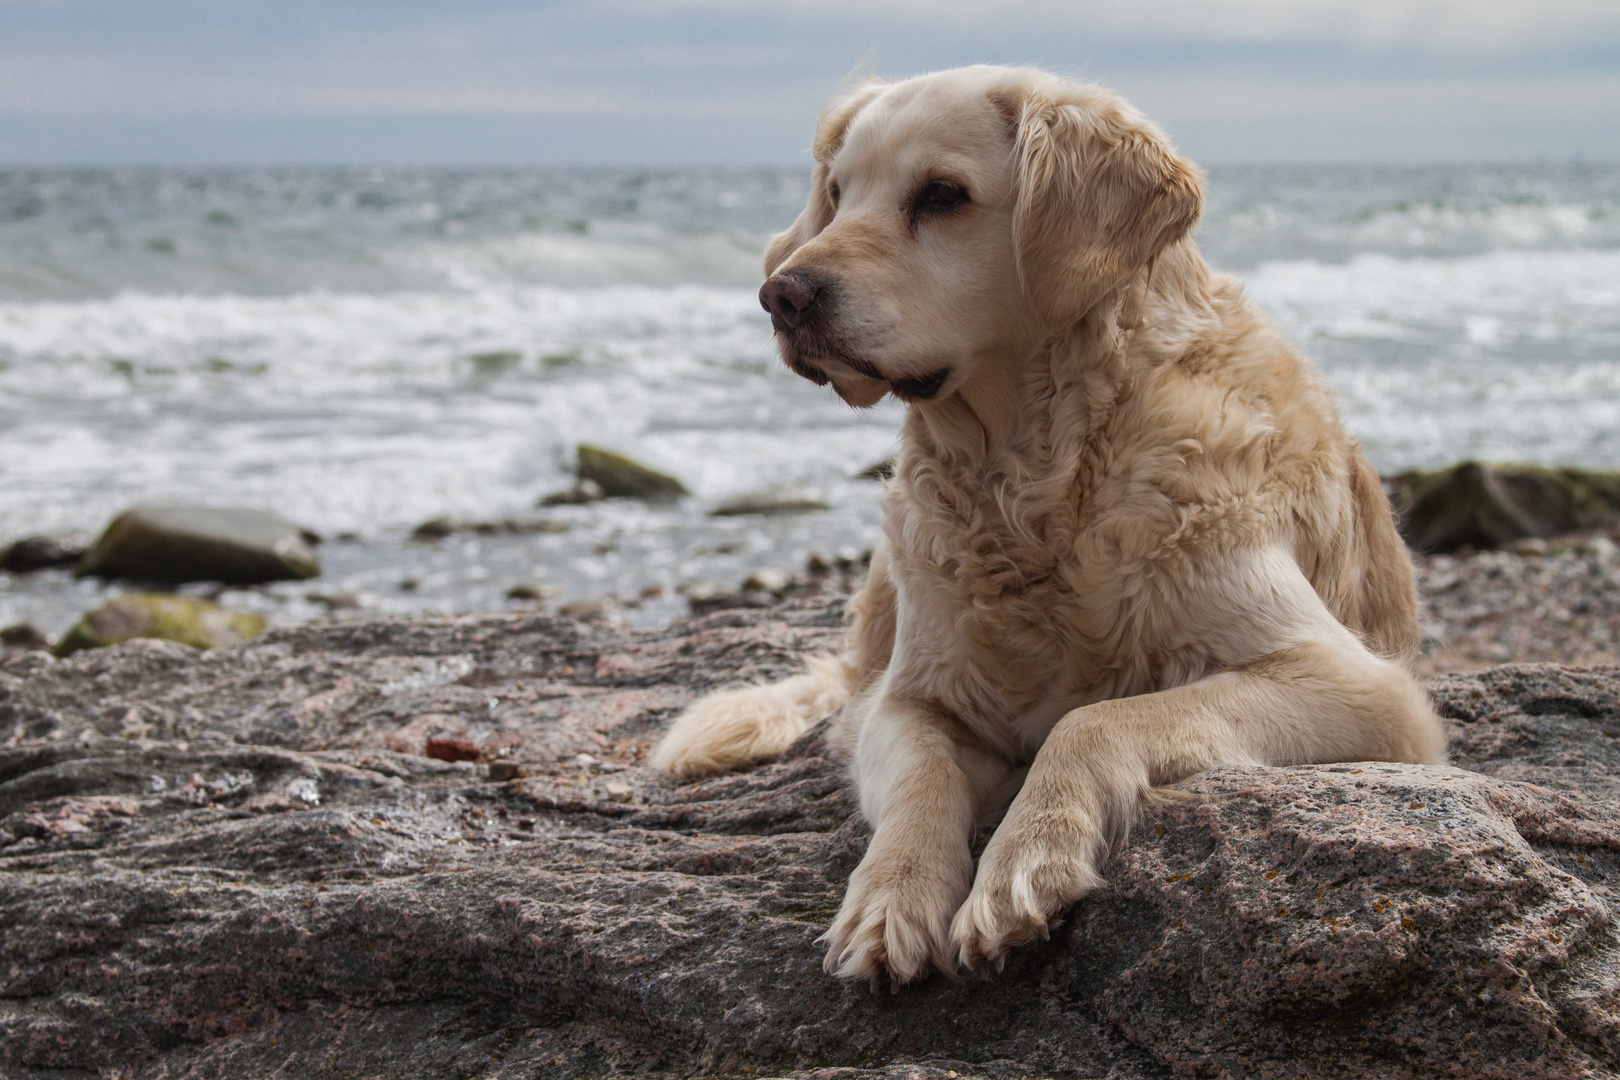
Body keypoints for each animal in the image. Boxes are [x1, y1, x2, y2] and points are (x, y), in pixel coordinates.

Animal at [644, 65, 1445, 990]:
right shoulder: (913, 696)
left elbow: (1092, 720)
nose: (782, 295)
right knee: (844, 680)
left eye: (942, 195)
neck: (1035, 479)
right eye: (838, 195)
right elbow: (920, 781)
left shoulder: (1361, 687)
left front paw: (1024, 859)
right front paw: (892, 896)